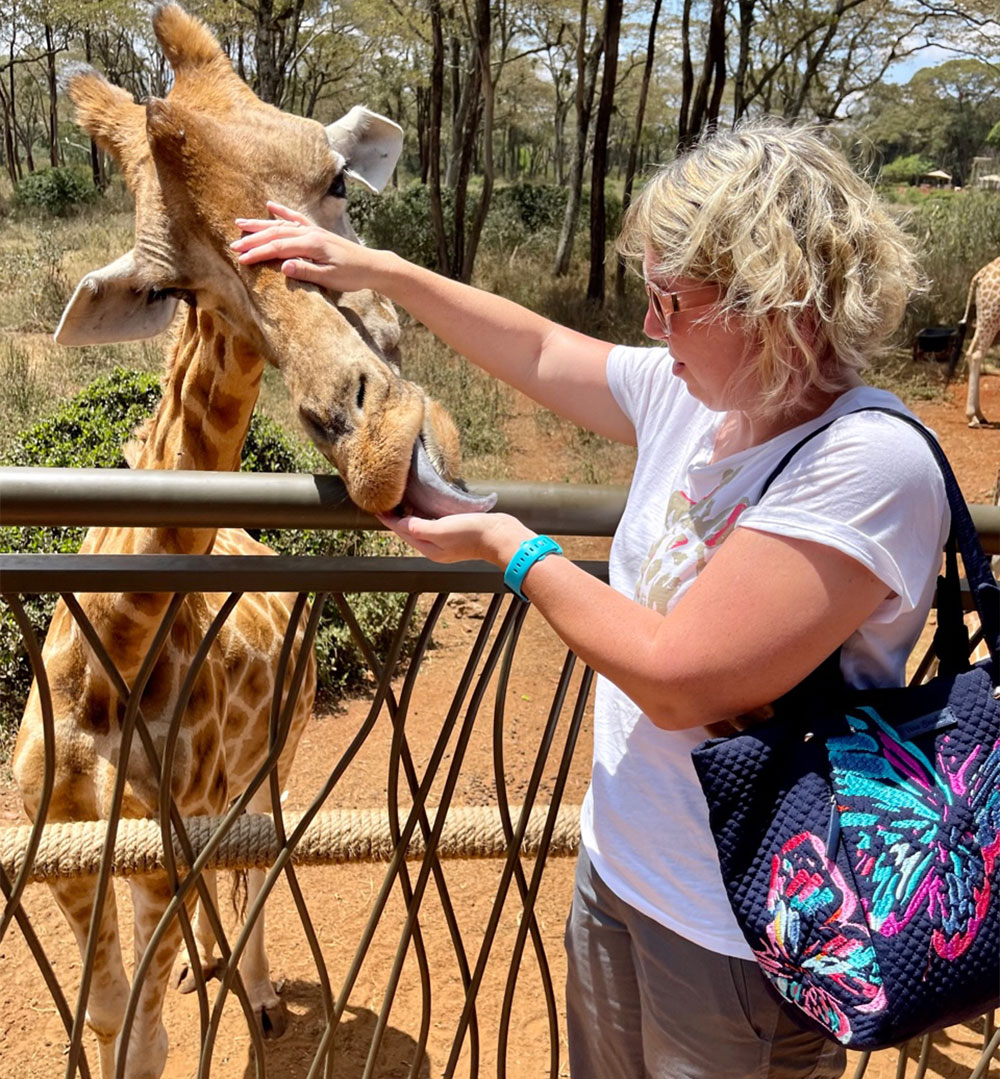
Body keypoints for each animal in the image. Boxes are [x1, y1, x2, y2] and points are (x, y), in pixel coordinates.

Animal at [7, 4, 491, 1074]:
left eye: (339, 183)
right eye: (166, 285)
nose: (381, 443)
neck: (111, 662)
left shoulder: (151, 856)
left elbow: (142, 1037)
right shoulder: (65, 859)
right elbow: (106, 1020)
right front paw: (185, 977)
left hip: (276, 753)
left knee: (263, 859)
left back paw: (260, 990)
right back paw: (209, 964)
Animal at [953, 254, 1000, 427]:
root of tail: (980, 275)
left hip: (984, 316)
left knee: (972, 352)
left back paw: (979, 415)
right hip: (991, 315)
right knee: (976, 355)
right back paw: (973, 416)